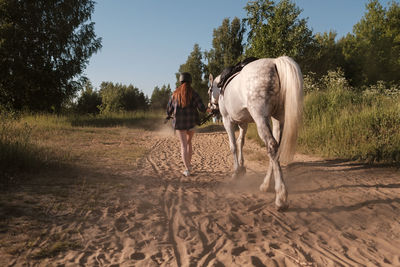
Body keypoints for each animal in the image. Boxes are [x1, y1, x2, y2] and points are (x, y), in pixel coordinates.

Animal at [209, 56, 304, 211]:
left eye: (209, 90)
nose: (211, 108)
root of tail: (274, 62)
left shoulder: (227, 120)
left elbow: (233, 145)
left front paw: (236, 172)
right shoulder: (243, 123)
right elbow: (241, 142)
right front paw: (242, 168)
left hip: (260, 118)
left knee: (271, 146)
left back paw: (281, 197)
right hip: (278, 119)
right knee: (276, 148)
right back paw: (266, 185)